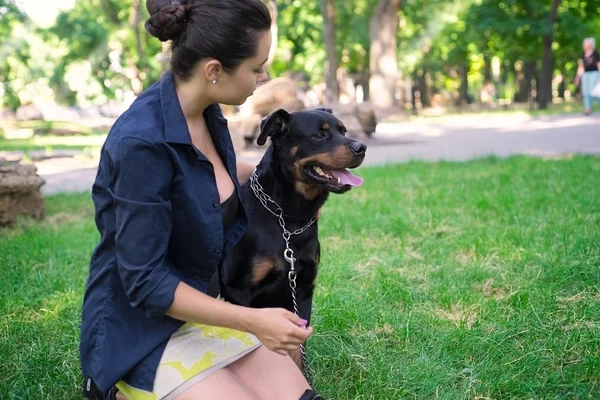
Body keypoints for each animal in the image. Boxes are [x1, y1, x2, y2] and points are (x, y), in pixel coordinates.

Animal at [213, 108, 368, 370]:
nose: (362, 147)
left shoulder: (304, 288)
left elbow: (298, 352)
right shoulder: (239, 290)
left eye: (343, 130)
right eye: (319, 135)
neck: (289, 219)